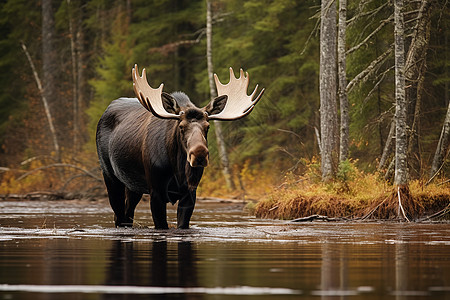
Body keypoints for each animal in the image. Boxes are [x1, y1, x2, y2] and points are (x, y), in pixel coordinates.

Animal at [95, 64, 264, 229]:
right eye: (181, 126)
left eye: (207, 126)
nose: (200, 154)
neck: (177, 170)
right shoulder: (156, 190)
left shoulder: (190, 192)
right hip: (109, 175)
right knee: (118, 215)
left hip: (132, 185)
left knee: (127, 215)